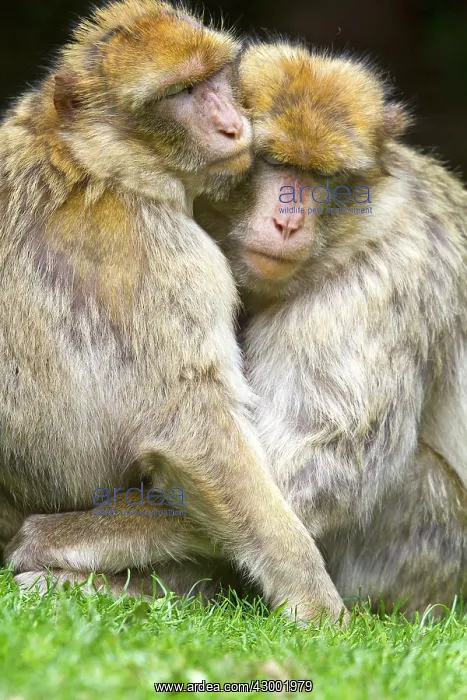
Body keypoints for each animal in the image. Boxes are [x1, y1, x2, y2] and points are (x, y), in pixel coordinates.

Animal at [0, 5, 347, 623]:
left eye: (213, 79)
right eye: (182, 92)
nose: (233, 125)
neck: (98, 159)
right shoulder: (171, 257)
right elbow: (191, 427)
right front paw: (314, 601)